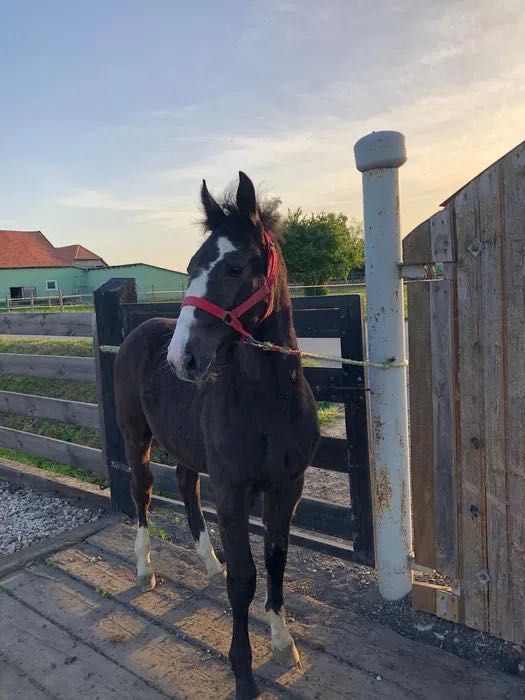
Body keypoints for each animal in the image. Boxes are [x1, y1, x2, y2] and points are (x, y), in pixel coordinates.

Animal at [115, 172, 320, 696]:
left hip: (186, 447)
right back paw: (145, 567)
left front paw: (282, 643)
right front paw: (243, 671)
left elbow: (276, 560)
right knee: (142, 492)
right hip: (135, 437)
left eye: (235, 266)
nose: (182, 358)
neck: (267, 402)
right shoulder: (232, 490)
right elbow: (245, 578)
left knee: (187, 486)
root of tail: (139, 331)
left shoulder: (287, 488)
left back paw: (210, 563)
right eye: (190, 267)